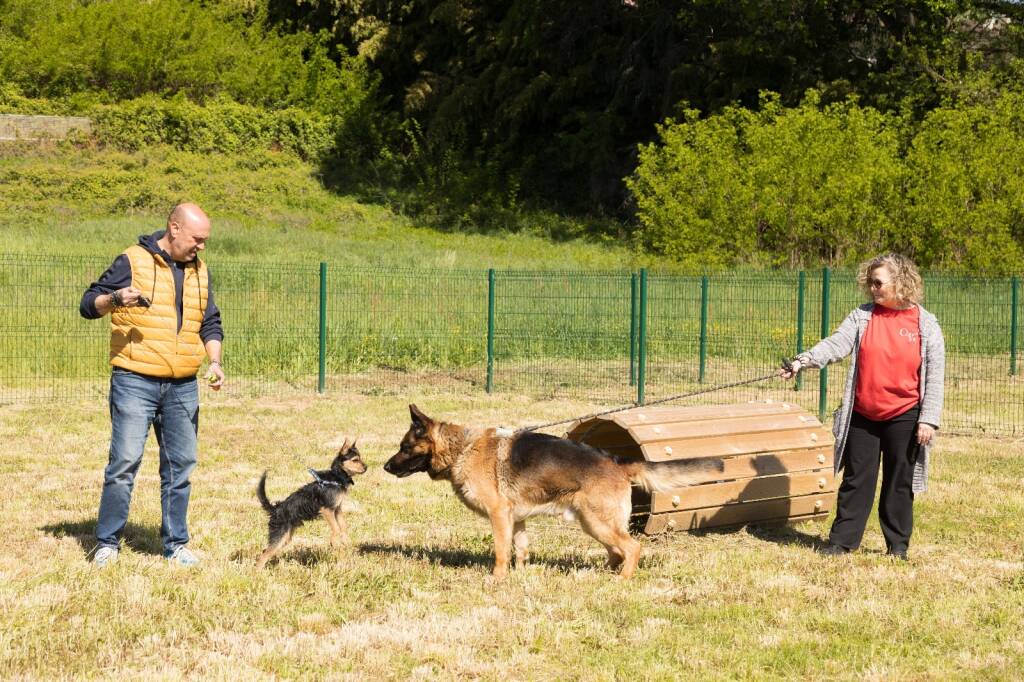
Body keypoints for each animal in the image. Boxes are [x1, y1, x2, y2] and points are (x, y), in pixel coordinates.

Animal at [382, 405, 720, 577]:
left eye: (404, 447)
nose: (384, 467)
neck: (462, 448)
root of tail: (619, 462)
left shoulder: (499, 516)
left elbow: (501, 552)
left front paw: (497, 580)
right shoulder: (516, 519)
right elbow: (521, 550)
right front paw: (520, 576)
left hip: (597, 522)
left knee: (632, 547)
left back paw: (622, 580)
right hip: (593, 523)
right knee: (616, 550)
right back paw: (598, 575)